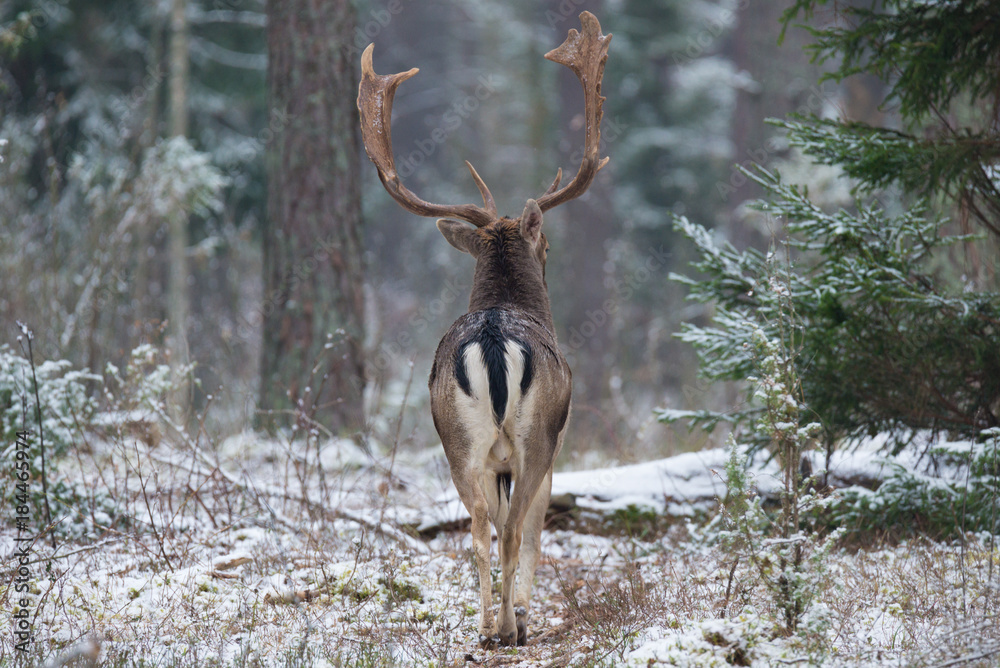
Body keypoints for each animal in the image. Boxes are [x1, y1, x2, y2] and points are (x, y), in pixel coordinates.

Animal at [357, 12, 611, 648]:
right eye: (546, 244)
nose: (550, 252)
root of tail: (494, 340)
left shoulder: (492, 460)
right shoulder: (554, 447)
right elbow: (535, 529)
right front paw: (519, 611)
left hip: (457, 438)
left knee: (476, 528)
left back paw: (481, 627)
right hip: (533, 437)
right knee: (517, 528)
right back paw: (509, 626)